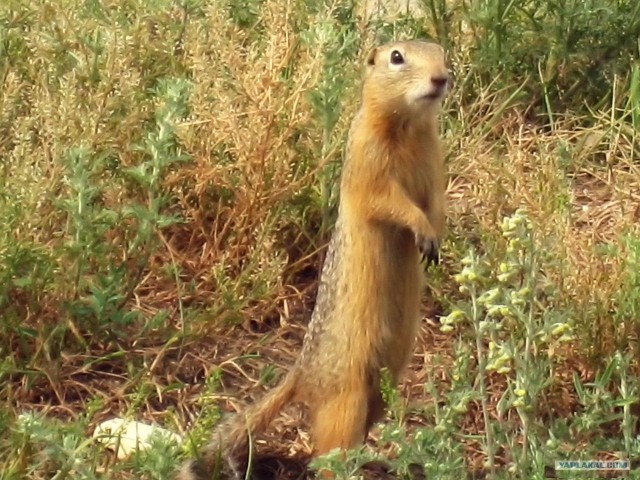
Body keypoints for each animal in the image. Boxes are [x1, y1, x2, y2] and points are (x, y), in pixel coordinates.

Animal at [178, 39, 449, 480]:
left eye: (443, 53)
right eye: (397, 57)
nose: (441, 78)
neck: (408, 128)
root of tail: (301, 373)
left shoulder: (434, 165)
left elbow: (437, 204)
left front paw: (436, 236)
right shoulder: (368, 164)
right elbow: (390, 202)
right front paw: (421, 230)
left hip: (382, 390)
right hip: (347, 399)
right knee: (325, 454)